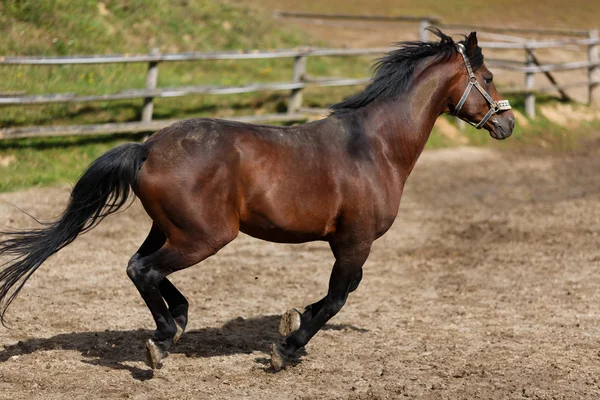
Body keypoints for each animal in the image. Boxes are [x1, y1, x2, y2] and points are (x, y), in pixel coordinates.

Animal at [0, 28, 516, 372]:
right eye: (489, 76)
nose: (507, 124)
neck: (374, 146)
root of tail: (147, 147)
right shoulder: (355, 241)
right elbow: (338, 298)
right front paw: (287, 347)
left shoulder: (348, 243)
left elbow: (337, 295)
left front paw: (291, 324)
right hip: (204, 237)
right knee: (145, 270)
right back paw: (162, 340)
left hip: (170, 229)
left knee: (138, 266)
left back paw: (177, 324)